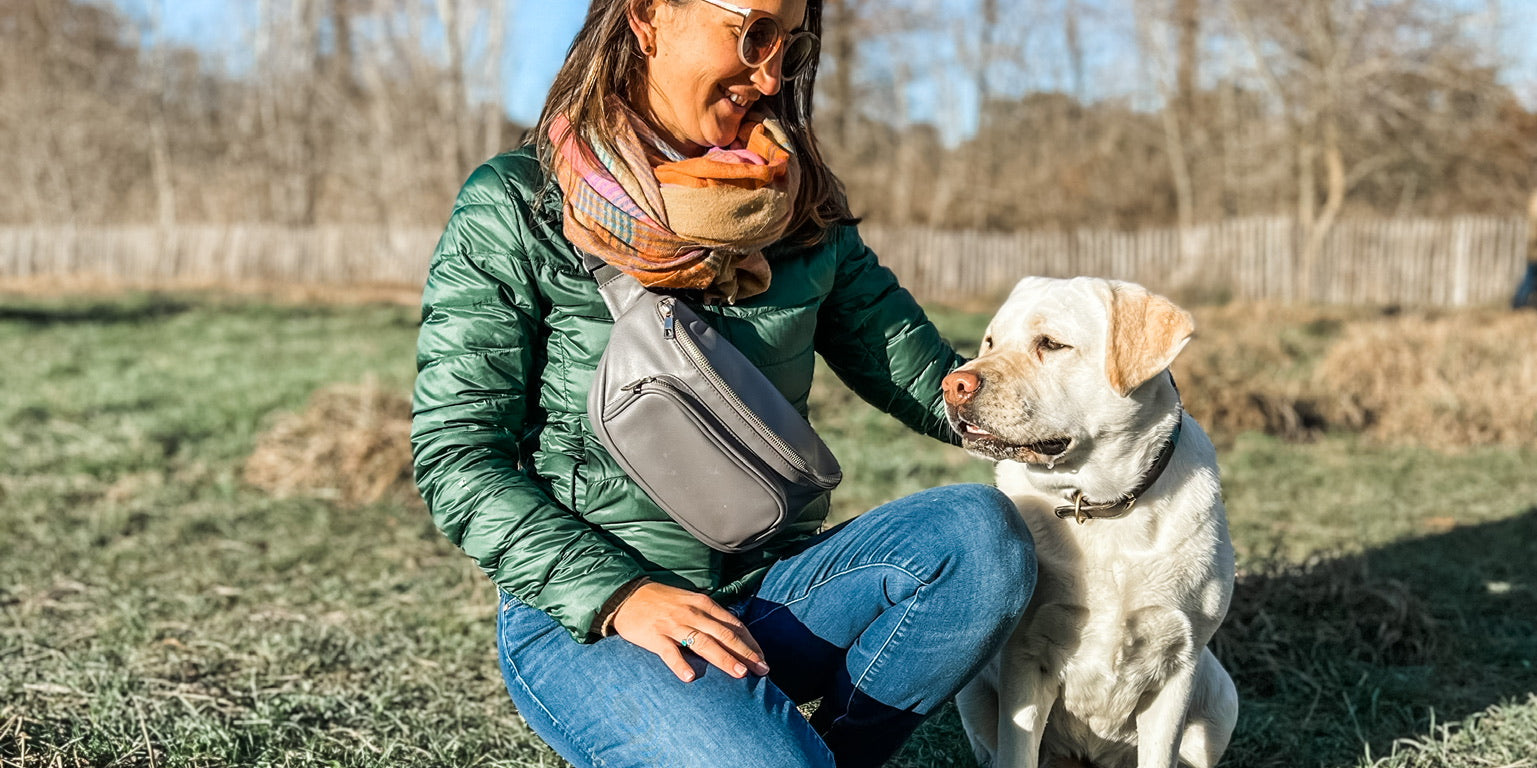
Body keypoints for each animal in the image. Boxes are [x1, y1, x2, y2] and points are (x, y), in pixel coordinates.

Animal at [940, 276, 1241, 768]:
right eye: (990, 341)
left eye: (1051, 344)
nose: (953, 384)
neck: (1101, 505)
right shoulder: (1025, 658)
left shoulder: (1180, 663)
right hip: (974, 694)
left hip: (1220, 696)